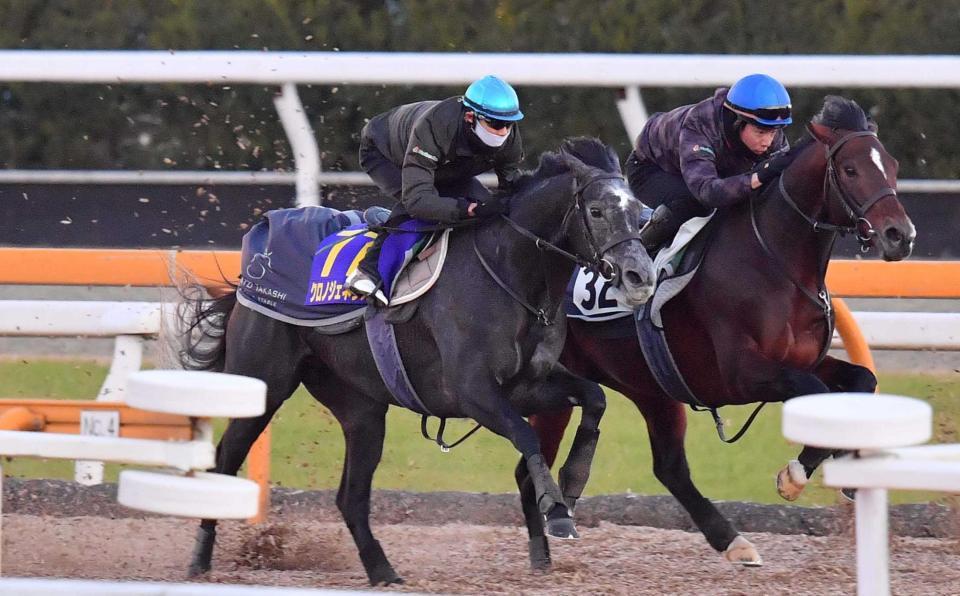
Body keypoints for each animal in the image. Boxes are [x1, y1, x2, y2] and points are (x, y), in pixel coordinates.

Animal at [178, 137, 660, 584]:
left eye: (639, 210)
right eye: (596, 211)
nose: (640, 276)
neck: (512, 274)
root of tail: (252, 264)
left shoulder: (527, 385)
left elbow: (594, 397)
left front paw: (572, 484)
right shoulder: (472, 393)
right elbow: (526, 436)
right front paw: (555, 510)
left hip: (361, 408)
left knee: (351, 497)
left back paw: (383, 571)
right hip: (263, 382)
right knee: (225, 460)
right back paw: (199, 559)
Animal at [524, 95, 916, 564]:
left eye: (892, 165)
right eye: (851, 169)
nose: (900, 235)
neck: (774, 261)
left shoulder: (802, 359)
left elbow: (862, 379)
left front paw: (850, 461)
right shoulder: (741, 374)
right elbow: (814, 392)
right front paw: (795, 474)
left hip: (649, 385)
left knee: (669, 468)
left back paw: (731, 540)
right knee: (535, 459)